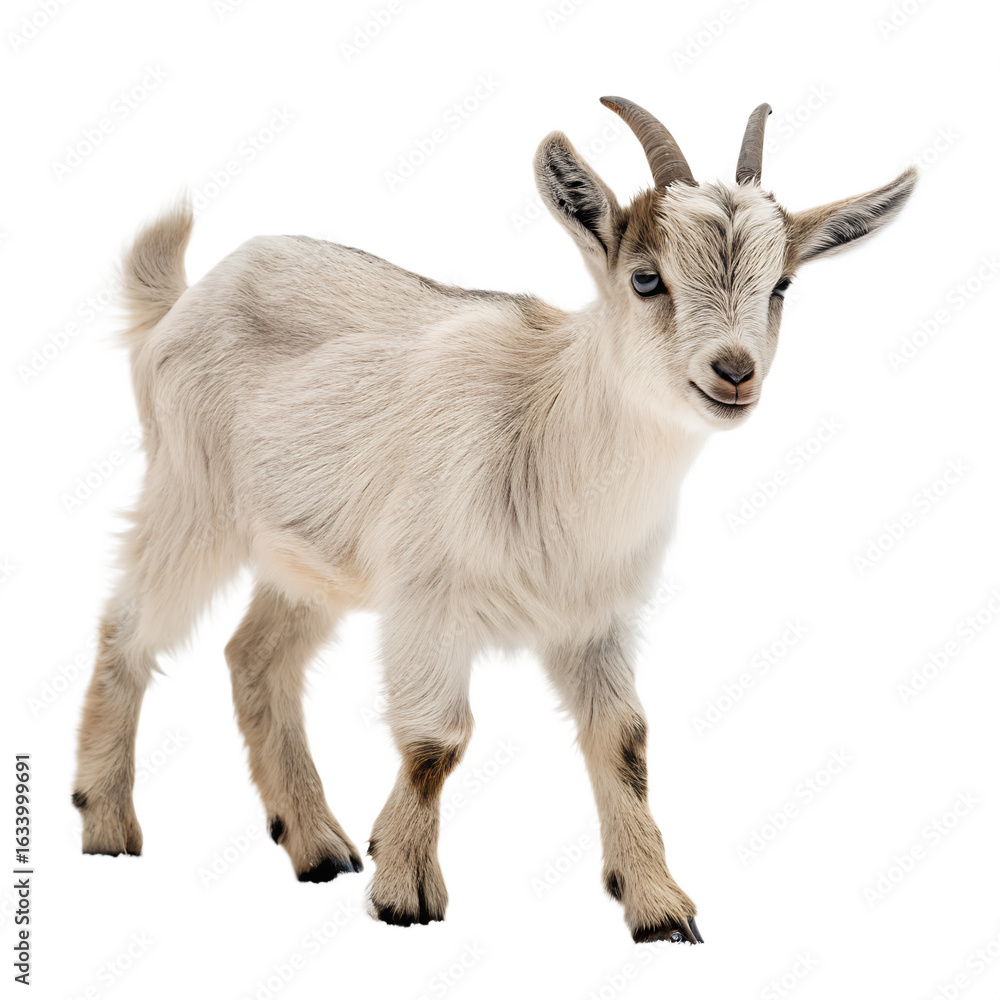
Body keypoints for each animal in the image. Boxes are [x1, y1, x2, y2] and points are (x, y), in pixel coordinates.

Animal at [73, 97, 916, 943]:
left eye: (781, 285)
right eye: (647, 279)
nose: (734, 372)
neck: (550, 432)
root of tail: (188, 298)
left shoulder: (594, 619)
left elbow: (625, 743)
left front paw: (658, 906)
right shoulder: (425, 599)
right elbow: (435, 743)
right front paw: (404, 891)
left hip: (311, 555)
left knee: (254, 657)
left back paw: (316, 843)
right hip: (193, 498)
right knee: (128, 627)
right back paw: (106, 822)